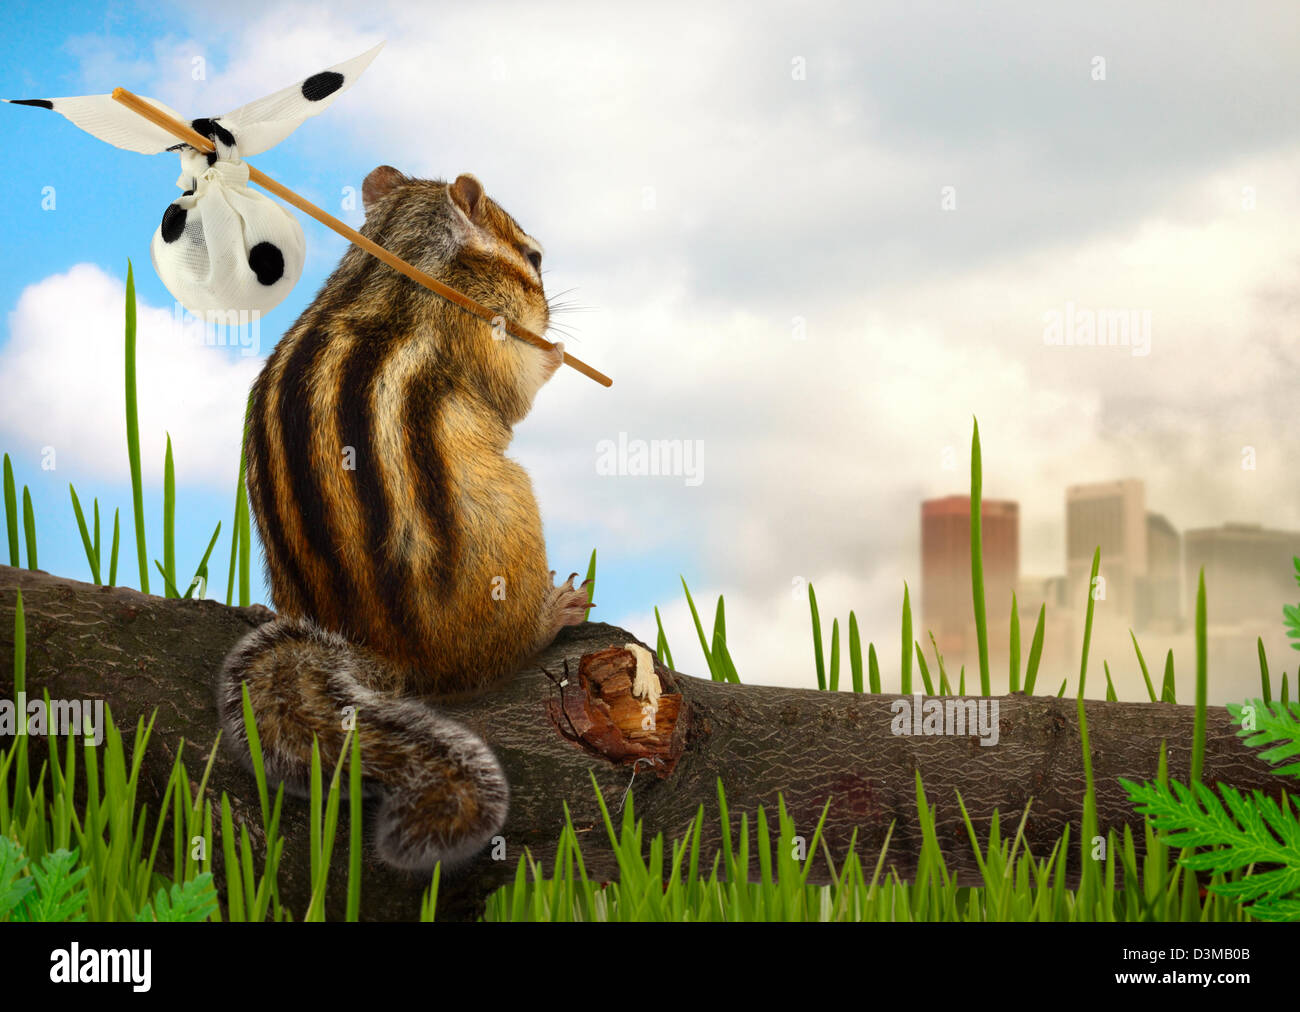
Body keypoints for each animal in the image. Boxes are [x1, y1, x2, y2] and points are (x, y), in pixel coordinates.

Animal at [216, 166, 593, 872]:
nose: (550, 312)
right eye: (532, 259)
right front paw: (552, 350)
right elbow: (515, 387)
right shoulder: (479, 330)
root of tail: (381, 652)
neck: (390, 263)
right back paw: (555, 612)